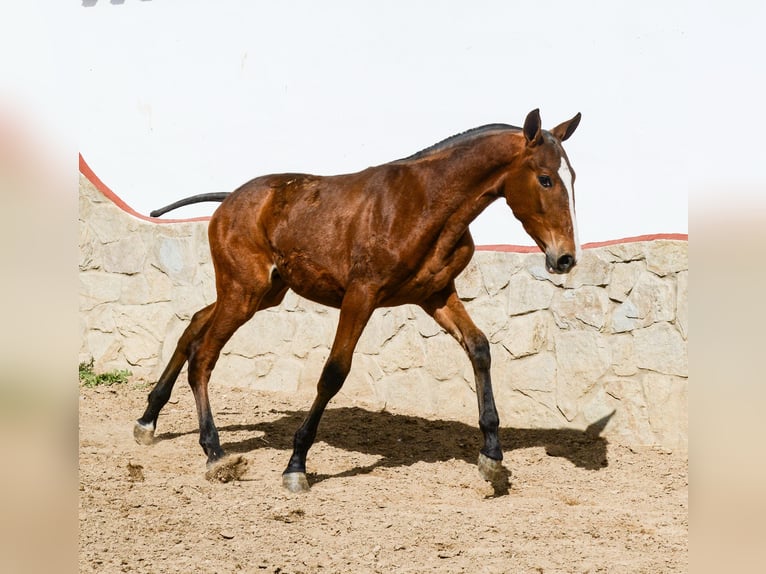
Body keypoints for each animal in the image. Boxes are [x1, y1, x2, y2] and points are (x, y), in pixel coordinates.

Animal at [135, 109, 584, 496]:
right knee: (204, 355)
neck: (425, 204)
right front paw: (296, 465)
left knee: (194, 325)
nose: (564, 258)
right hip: (243, 291)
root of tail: (229, 200)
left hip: (262, 292)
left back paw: (147, 421)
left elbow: (479, 348)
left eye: (574, 176)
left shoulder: (436, 295)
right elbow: (334, 372)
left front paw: (492, 457)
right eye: (546, 179)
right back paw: (215, 454)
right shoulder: (361, 294)